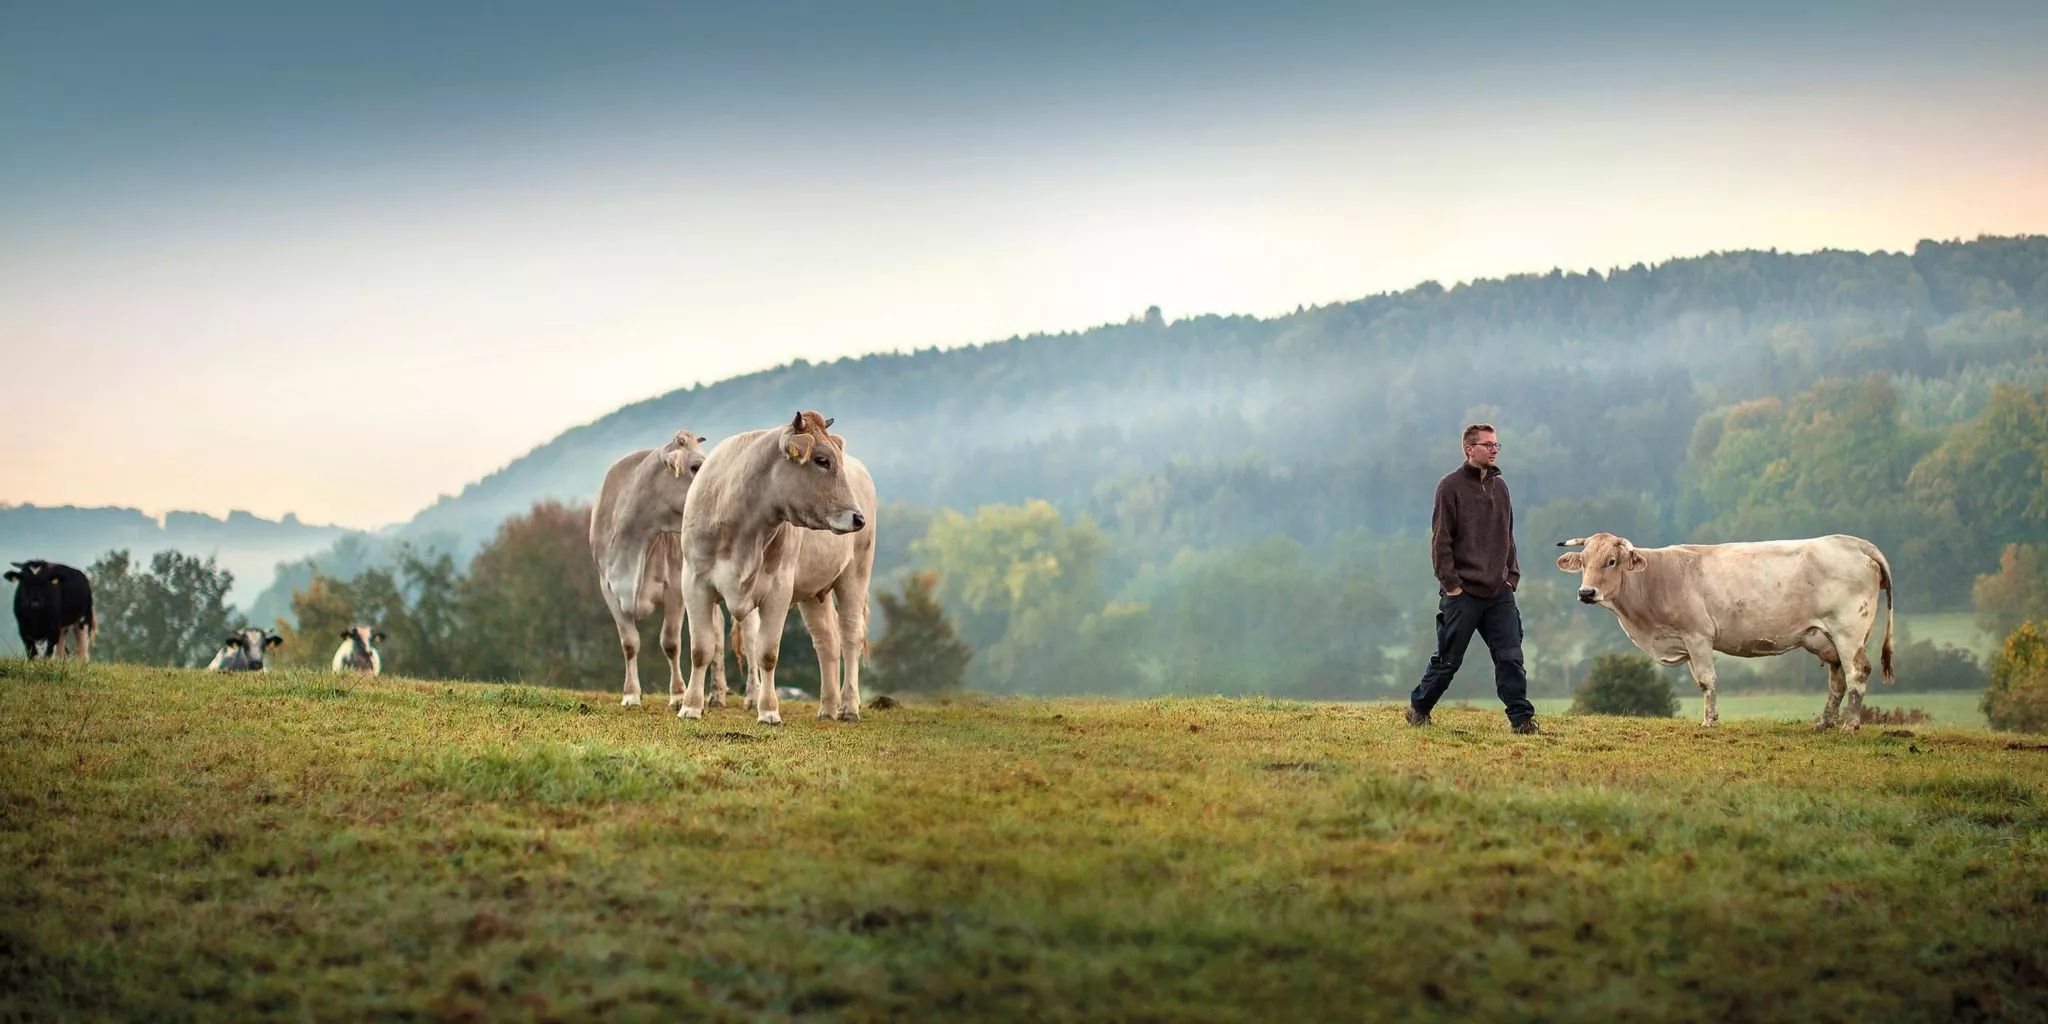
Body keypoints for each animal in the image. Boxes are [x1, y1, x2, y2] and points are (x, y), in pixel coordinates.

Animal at [585, 428, 729, 708]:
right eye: (696, 466)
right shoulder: (608, 589)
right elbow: (629, 643)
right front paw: (631, 694)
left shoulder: (675, 589)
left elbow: (670, 643)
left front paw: (678, 695)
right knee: (717, 632)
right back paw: (716, 694)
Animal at [679, 411, 872, 724]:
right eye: (822, 460)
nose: (858, 518)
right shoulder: (694, 582)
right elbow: (700, 649)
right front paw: (690, 707)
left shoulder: (778, 589)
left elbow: (767, 653)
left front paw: (769, 710)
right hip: (812, 591)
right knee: (826, 640)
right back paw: (828, 707)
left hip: (855, 575)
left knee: (850, 636)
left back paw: (849, 707)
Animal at [1556, 532, 1892, 733]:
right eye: (1583, 562)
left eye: (1611, 561)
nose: (1586, 592)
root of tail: (1853, 542)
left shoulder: (1697, 636)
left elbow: (1707, 681)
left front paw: (1708, 722)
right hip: (1827, 638)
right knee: (1837, 680)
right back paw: (1824, 723)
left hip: (1848, 632)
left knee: (1857, 672)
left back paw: (1850, 725)